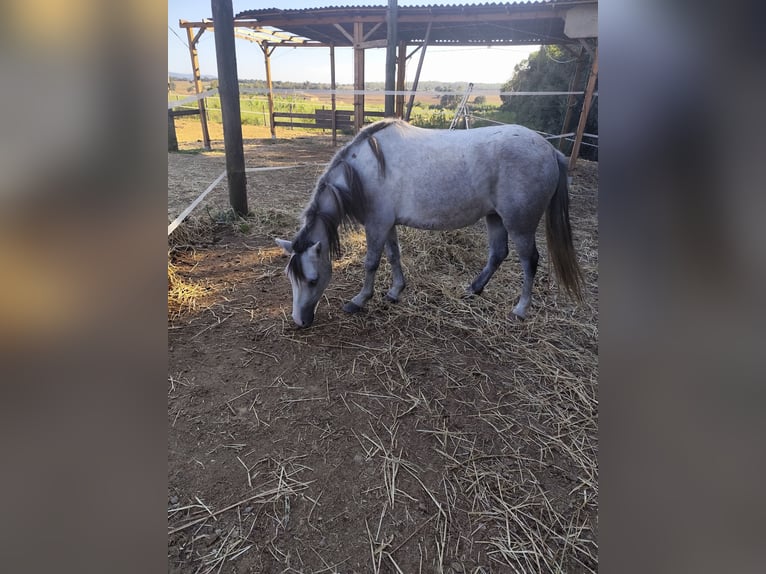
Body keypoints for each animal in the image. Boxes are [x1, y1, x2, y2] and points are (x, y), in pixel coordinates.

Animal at [276, 119, 584, 326]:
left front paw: (360, 300)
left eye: (313, 280)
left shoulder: (376, 226)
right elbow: (394, 255)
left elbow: (371, 263)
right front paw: (395, 291)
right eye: (290, 278)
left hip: (520, 225)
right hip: (495, 217)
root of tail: (550, 150)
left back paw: (520, 309)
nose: (299, 321)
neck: (366, 171)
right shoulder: (387, 224)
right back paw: (473, 289)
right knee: (498, 254)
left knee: (529, 261)